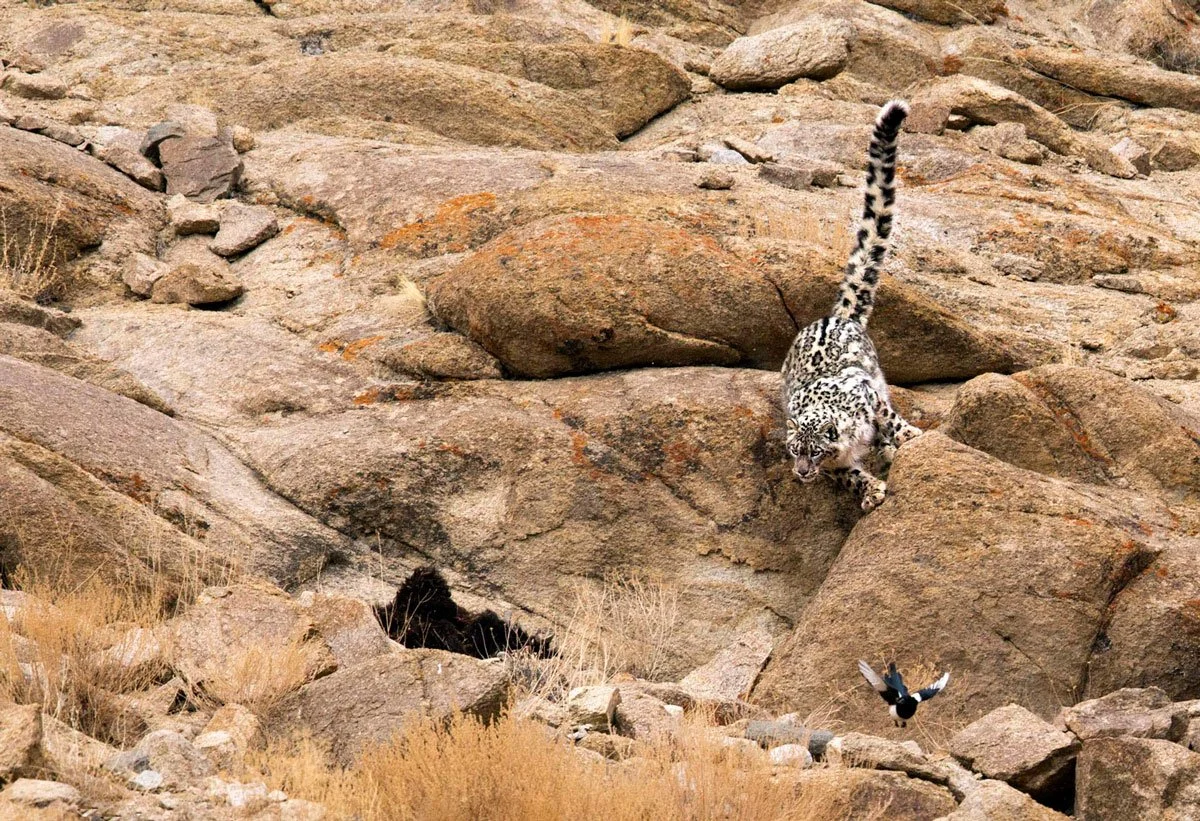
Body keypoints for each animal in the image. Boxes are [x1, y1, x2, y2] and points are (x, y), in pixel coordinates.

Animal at [780, 99, 922, 511]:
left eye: (816, 450)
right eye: (794, 450)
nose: (802, 473)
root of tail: (836, 316)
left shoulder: (870, 398)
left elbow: (889, 418)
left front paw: (908, 436)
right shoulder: (838, 466)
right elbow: (851, 475)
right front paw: (871, 490)